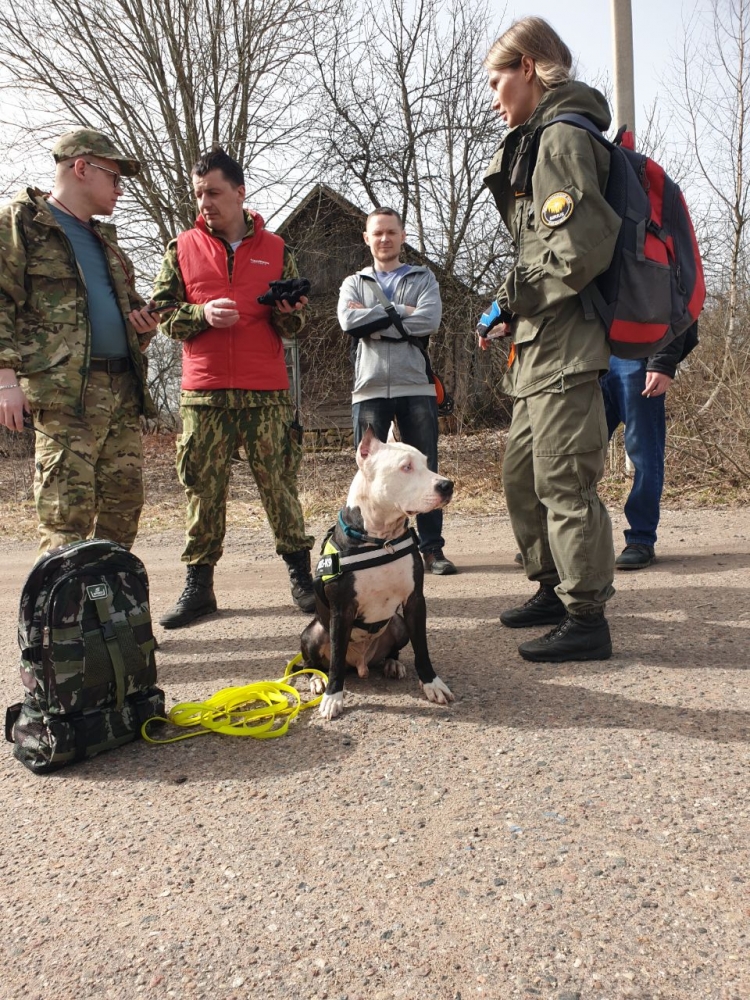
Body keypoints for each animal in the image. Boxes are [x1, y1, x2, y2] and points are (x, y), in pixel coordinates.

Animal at [302, 430, 456, 720]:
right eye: (406, 467)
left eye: (426, 462)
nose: (447, 485)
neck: (381, 539)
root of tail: (360, 663)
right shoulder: (342, 610)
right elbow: (335, 660)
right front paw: (333, 697)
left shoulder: (415, 602)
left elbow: (422, 648)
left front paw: (432, 683)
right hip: (312, 633)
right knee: (309, 663)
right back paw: (316, 679)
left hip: (397, 624)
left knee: (392, 650)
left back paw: (392, 664)